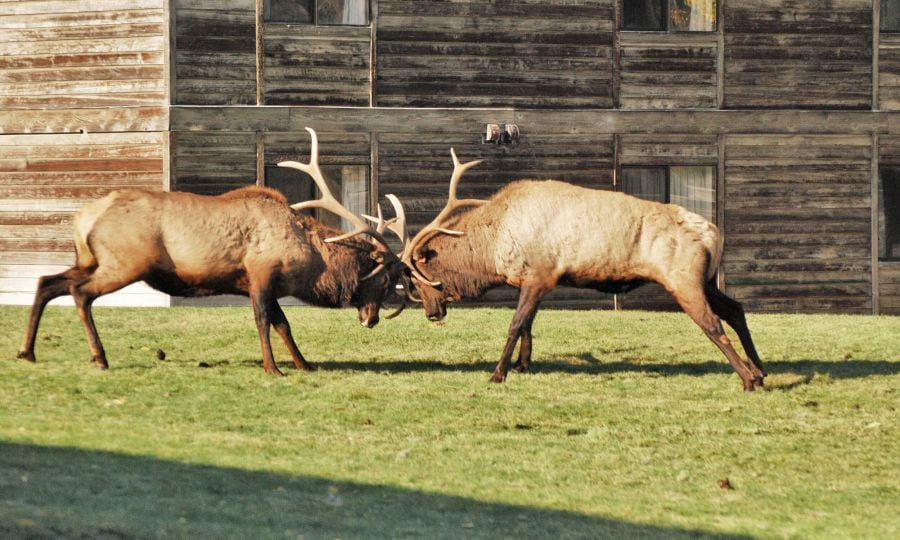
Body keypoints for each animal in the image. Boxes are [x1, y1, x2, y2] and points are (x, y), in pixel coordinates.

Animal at [17, 128, 406, 376]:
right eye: (384, 278)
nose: (371, 319)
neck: (309, 260)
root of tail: (83, 218)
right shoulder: (260, 273)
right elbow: (264, 321)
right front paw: (272, 368)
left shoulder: (262, 284)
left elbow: (283, 324)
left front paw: (304, 364)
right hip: (125, 263)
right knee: (80, 292)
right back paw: (99, 358)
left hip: (89, 260)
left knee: (48, 281)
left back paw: (27, 351)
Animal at [397, 150, 767, 391]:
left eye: (421, 278)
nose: (431, 313)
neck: (494, 249)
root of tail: (713, 233)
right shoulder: (536, 281)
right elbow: (528, 325)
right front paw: (522, 365)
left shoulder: (540, 275)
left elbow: (515, 324)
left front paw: (498, 373)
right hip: (707, 280)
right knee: (735, 309)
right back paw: (760, 369)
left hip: (683, 278)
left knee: (713, 324)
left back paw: (748, 379)